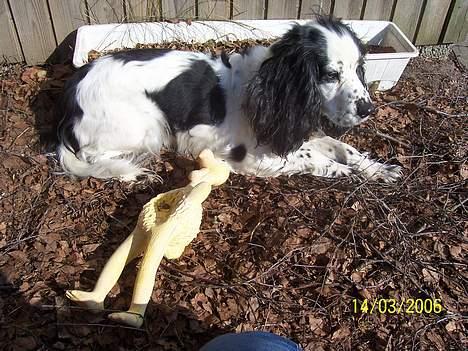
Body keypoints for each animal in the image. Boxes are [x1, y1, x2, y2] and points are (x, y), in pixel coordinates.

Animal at [57, 16, 402, 183]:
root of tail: (72, 92)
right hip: (146, 126)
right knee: (91, 156)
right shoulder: (253, 156)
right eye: (331, 74)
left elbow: (342, 147)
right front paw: (342, 171)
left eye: (359, 68)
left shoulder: (295, 131)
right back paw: (130, 171)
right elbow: (314, 157)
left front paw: (378, 169)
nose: (368, 109)